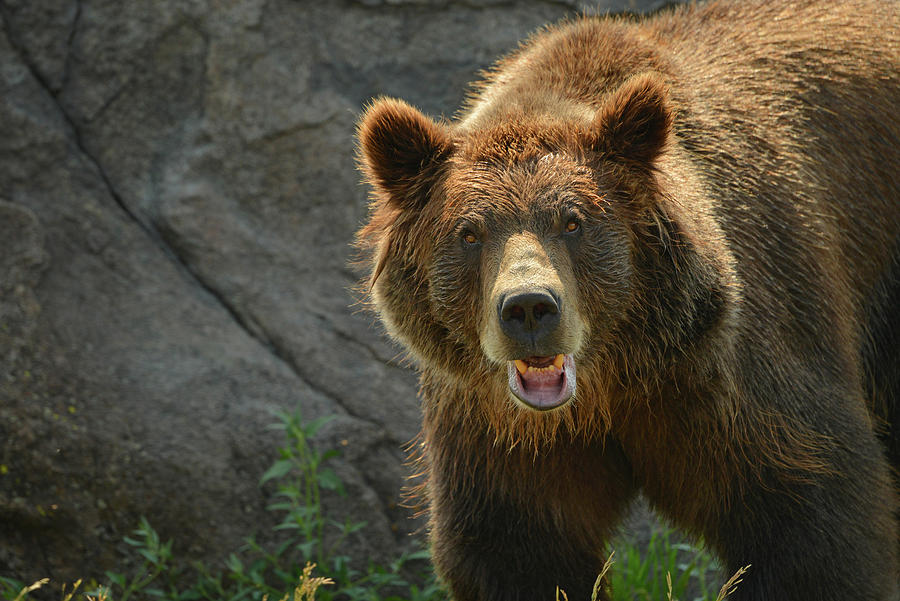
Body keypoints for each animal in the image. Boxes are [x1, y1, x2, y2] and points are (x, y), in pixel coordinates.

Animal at [356, 1, 896, 600]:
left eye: (573, 222)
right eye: (469, 233)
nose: (528, 309)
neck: (612, 384)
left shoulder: (733, 376)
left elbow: (814, 525)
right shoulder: (492, 428)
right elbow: (516, 547)